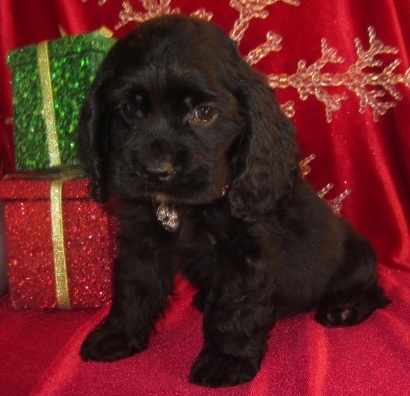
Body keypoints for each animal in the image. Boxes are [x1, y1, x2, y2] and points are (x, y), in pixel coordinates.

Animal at [77, 14, 390, 386]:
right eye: (128, 109)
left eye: (203, 113)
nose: (156, 171)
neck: (187, 209)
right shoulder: (140, 239)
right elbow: (133, 286)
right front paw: (117, 334)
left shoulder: (247, 251)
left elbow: (234, 309)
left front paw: (226, 361)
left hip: (356, 259)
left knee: (375, 290)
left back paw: (344, 308)